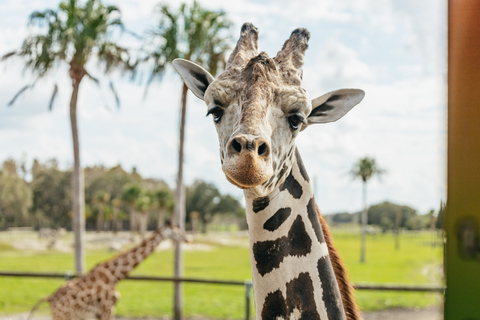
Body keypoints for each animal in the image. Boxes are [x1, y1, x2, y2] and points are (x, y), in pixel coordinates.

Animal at [27, 225, 186, 320]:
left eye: (181, 231)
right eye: (176, 231)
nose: (187, 238)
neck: (114, 276)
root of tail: (49, 298)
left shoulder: (99, 313)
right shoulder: (107, 309)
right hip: (64, 316)